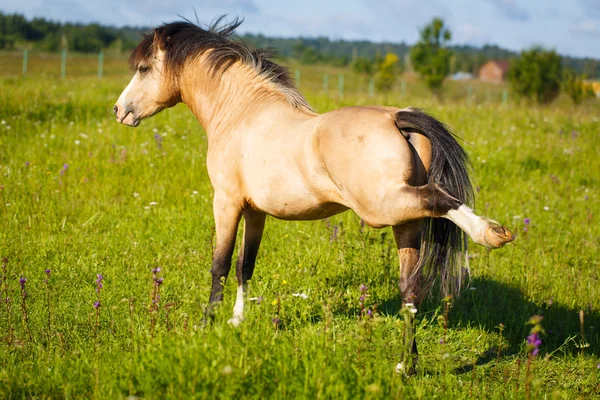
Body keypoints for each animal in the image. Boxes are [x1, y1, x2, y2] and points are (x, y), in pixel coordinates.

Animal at [113, 16, 516, 372]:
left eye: (145, 68)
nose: (119, 110)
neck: (242, 112)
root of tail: (396, 118)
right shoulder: (255, 211)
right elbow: (246, 265)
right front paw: (237, 321)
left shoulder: (226, 202)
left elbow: (221, 265)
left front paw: (206, 325)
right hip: (406, 226)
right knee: (410, 291)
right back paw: (406, 365)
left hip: (382, 208)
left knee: (441, 198)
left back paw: (491, 232)